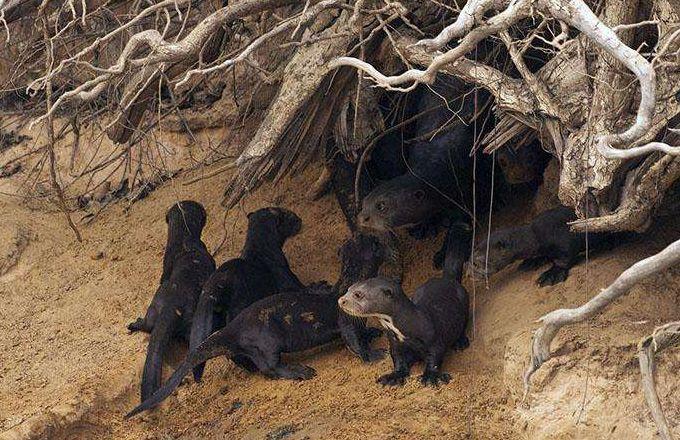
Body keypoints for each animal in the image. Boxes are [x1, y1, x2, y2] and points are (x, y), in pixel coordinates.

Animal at [125, 232, 386, 418]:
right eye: (371, 240)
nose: (373, 234)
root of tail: (232, 329)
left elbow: (363, 332)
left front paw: (373, 332)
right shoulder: (346, 319)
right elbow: (353, 342)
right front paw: (375, 354)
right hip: (265, 341)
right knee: (268, 367)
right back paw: (300, 371)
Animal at [126, 201, 214, 400]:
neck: (183, 242)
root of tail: (171, 307)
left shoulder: (165, 268)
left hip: (155, 305)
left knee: (149, 324)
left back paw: (134, 324)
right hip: (189, 315)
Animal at [187, 206, 302, 382]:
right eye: (288, 214)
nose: (299, 220)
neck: (262, 246)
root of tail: (215, 284)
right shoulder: (284, 272)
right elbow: (299, 287)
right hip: (239, 306)